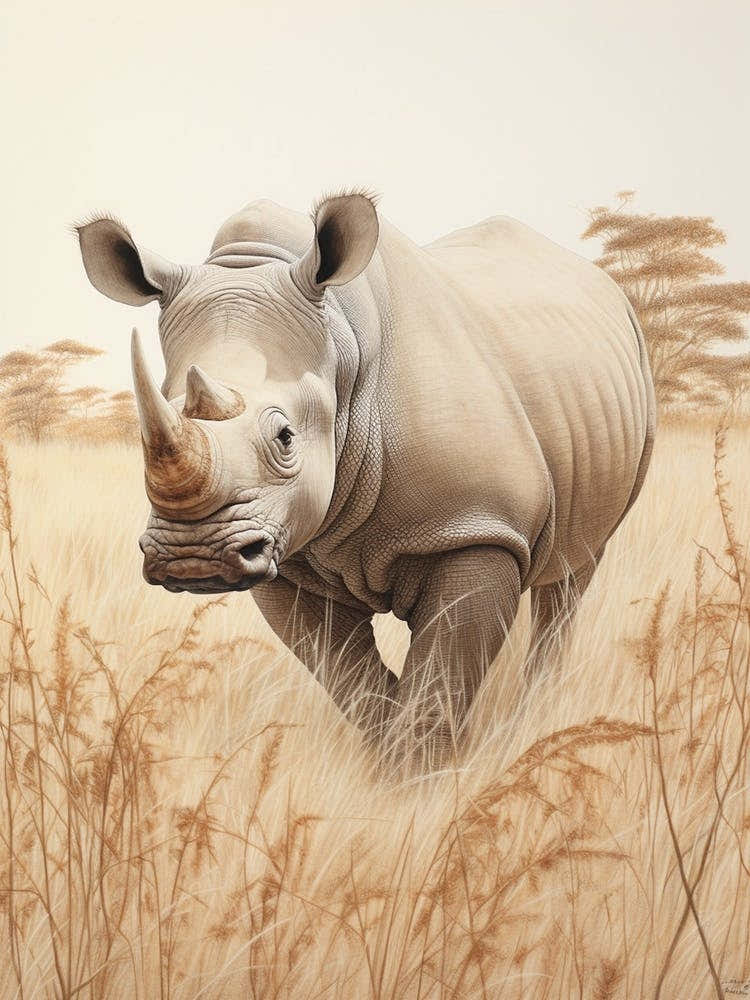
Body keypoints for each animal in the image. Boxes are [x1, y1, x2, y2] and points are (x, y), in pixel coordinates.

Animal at [76, 191, 656, 769]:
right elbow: (348, 676)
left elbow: (441, 673)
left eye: (285, 437)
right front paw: (390, 767)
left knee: (574, 572)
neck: (342, 351)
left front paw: (423, 779)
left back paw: (537, 714)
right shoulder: (288, 557)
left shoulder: (480, 526)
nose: (192, 557)